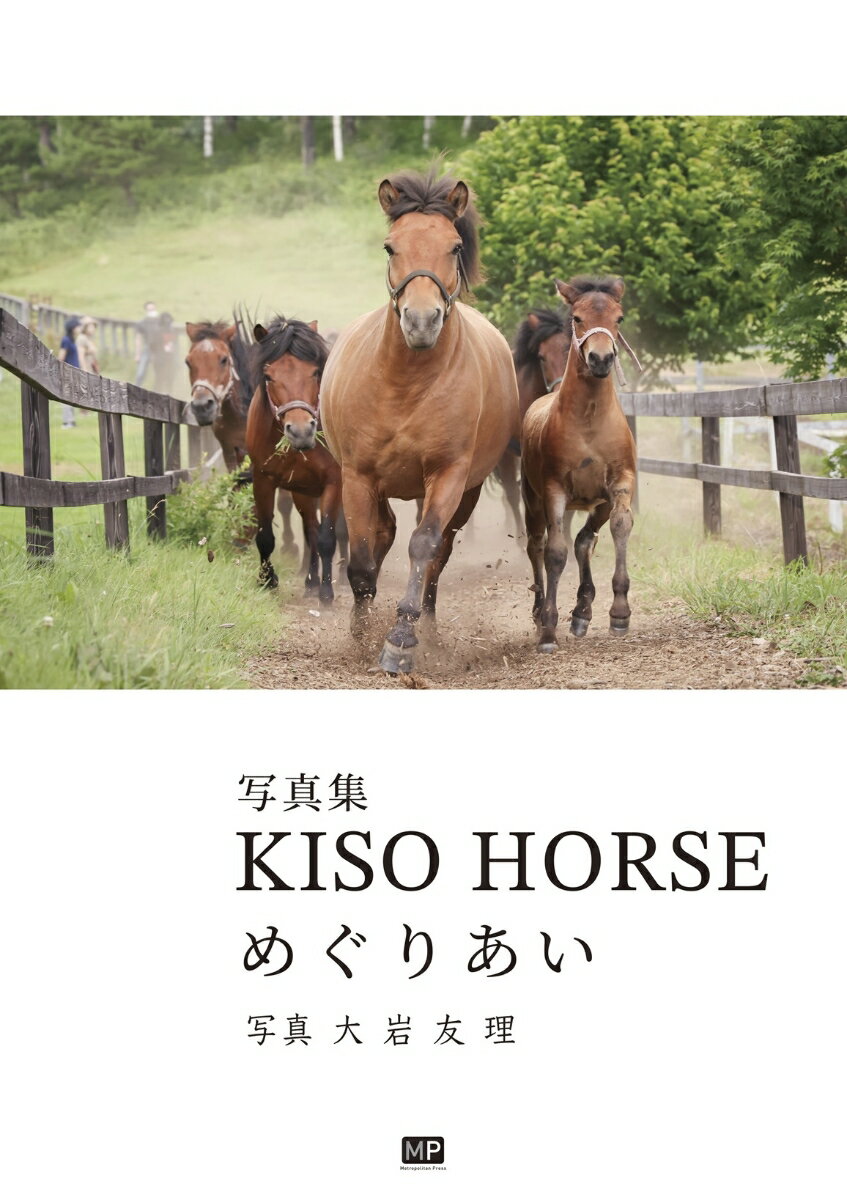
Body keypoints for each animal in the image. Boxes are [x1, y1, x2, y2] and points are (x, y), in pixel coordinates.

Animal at [184, 318, 298, 555]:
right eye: (188, 362)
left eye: (223, 359)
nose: (202, 407)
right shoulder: (230, 449)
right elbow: (237, 489)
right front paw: (238, 534)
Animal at [245, 315, 346, 602]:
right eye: (269, 376)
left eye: (314, 372)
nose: (301, 431)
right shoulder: (263, 480)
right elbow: (266, 536)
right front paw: (267, 579)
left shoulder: (334, 482)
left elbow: (328, 538)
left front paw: (327, 592)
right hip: (303, 492)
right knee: (310, 530)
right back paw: (310, 582)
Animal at [320, 169, 520, 674]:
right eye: (391, 246)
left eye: (454, 245)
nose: (422, 321)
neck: (405, 384)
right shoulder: (358, 476)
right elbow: (362, 558)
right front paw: (360, 631)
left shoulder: (448, 475)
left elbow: (423, 546)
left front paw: (400, 639)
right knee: (384, 535)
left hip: (464, 494)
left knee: (437, 554)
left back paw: (425, 625)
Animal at [522, 276, 639, 653]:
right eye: (577, 317)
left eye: (618, 318)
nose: (601, 358)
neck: (588, 420)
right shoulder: (554, 490)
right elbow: (555, 553)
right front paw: (548, 628)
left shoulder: (620, 483)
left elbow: (620, 527)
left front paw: (619, 614)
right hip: (532, 500)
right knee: (537, 546)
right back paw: (539, 609)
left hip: (595, 502)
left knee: (585, 540)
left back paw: (582, 611)